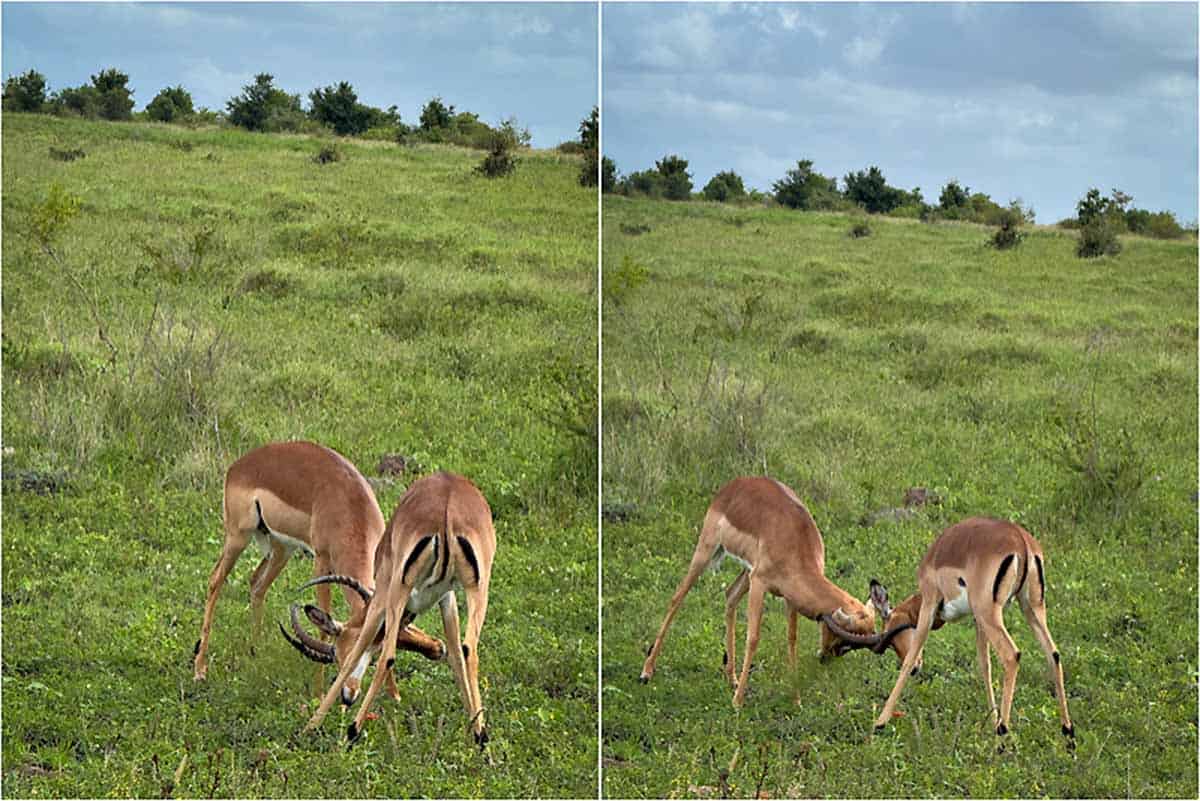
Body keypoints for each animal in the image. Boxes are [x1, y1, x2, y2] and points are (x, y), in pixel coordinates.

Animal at [195, 438, 446, 700]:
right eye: (341, 656)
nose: (349, 693)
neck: (349, 502)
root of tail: (238, 466)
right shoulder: (321, 561)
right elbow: (324, 623)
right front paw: (318, 693)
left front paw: (394, 694)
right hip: (238, 537)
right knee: (215, 580)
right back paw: (200, 670)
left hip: (282, 548)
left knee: (256, 584)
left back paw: (255, 650)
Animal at [298, 470, 496, 743]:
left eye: (338, 652)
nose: (347, 697)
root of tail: (448, 510)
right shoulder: (447, 597)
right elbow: (457, 655)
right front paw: (473, 726)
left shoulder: (381, 595)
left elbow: (360, 650)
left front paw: (311, 726)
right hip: (478, 589)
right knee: (470, 651)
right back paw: (481, 737)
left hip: (398, 589)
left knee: (388, 657)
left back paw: (353, 730)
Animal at [643, 479, 902, 705]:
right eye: (845, 640)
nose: (825, 658)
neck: (796, 542)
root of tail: (733, 485)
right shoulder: (760, 583)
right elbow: (753, 638)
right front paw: (737, 703)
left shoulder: (789, 597)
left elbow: (792, 639)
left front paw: (796, 700)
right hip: (708, 551)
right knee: (677, 597)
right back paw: (647, 671)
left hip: (746, 572)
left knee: (730, 596)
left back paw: (732, 678)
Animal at [868, 520, 1075, 738]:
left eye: (892, 636)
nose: (918, 669)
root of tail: (1022, 542)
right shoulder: (978, 621)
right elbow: (985, 665)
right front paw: (992, 720)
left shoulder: (929, 605)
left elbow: (909, 658)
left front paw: (880, 722)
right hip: (1030, 607)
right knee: (1053, 653)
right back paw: (1068, 732)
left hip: (990, 612)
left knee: (1012, 655)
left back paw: (1002, 734)